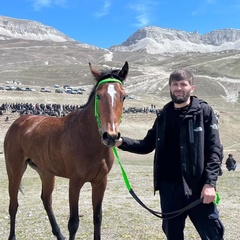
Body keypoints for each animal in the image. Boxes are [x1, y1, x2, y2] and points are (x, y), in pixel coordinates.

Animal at [3, 61, 128, 239]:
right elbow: (73, 223)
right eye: (99, 95)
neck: (88, 140)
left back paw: (58, 233)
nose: (111, 136)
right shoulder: (75, 183)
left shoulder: (100, 182)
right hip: (15, 171)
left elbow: (97, 218)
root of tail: (19, 121)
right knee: (13, 205)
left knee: (46, 200)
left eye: (123, 96)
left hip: (46, 172)